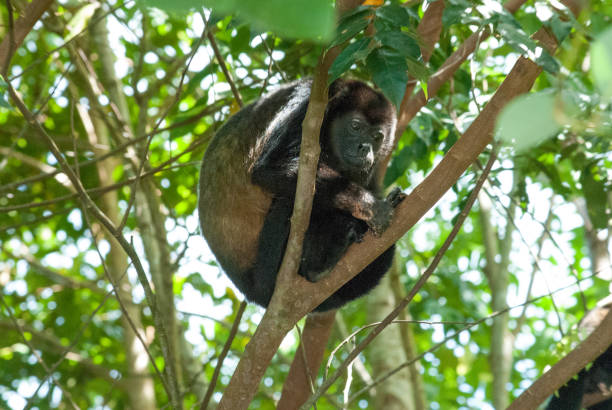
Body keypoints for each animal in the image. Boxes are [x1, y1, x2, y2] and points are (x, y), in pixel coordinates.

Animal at [198, 78, 404, 312]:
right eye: (355, 126)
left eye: (377, 136)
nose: (365, 148)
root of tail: (253, 293)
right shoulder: (305, 109)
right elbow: (269, 168)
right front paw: (372, 207)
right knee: (289, 199)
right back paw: (318, 267)